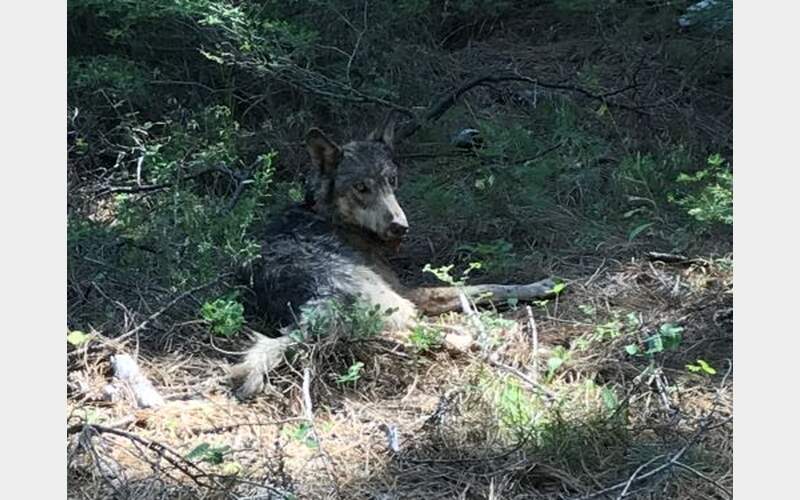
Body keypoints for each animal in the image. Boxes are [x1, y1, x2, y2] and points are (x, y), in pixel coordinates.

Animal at [231, 116, 555, 399]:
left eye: (392, 180)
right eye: (361, 187)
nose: (401, 226)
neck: (329, 215)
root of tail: (314, 305)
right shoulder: (411, 293)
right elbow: (486, 287)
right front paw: (540, 286)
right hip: (400, 304)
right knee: (437, 334)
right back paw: (503, 335)